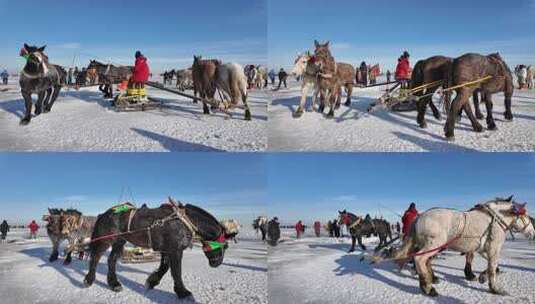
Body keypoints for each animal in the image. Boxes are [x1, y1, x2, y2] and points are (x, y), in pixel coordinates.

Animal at [82, 197, 229, 300]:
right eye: (226, 246)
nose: (217, 263)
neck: (184, 221)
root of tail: (104, 214)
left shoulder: (167, 249)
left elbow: (164, 267)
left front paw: (152, 281)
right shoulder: (175, 250)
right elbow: (176, 271)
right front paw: (183, 292)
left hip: (119, 241)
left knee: (111, 260)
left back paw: (114, 284)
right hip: (106, 240)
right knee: (96, 257)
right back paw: (89, 280)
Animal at [388, 196, 532, 296]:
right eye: (527, 216)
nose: (532, 233)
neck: (495, 219)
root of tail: (419, 216)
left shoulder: (483, 250)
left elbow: (493, 266)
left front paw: (482, 277)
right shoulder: (493, 249)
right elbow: (492, 268)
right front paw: (495, 288)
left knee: (426, 261)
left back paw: (431, 279)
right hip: (434, 245)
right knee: (419, 259)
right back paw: (428, 288)